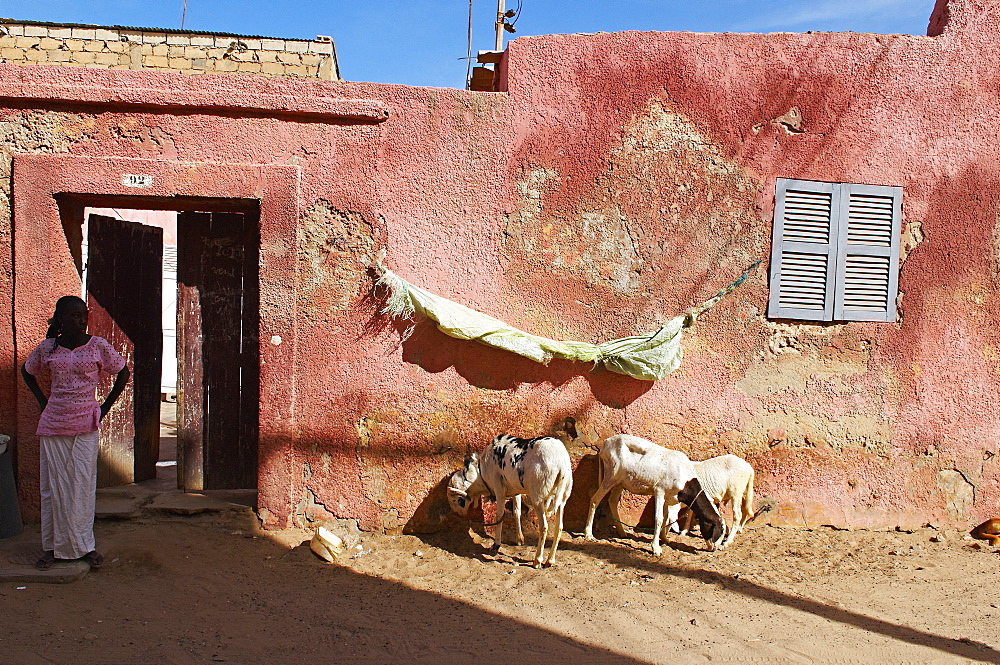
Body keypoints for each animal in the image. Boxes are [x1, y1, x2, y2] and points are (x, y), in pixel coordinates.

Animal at [450, 436, 576, 564]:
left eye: (455, 501)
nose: (458, 513)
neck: (481, 473)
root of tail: (560, 463)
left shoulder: (499, 490)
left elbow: (499, 516)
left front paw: (496, 545)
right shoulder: (516, 491)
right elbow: (516, 512)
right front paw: (519, 539)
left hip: (538, 499)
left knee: (544, 527)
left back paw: (537, 560)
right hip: (563, 498)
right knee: (559, 527)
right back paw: (550, 560)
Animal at [584, 434, 724, 552]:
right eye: (717, 529)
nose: (714, 548)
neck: (684, 477)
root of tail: (605, 444)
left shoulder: (669, 497)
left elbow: (666, 518)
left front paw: (665, 539)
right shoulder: (659, 491)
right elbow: (658, 518)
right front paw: (656, 548)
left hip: (620, 482)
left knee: (612, 501)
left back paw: (622, 532)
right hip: (610, 475)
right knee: (595, 499)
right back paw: (589, 534)